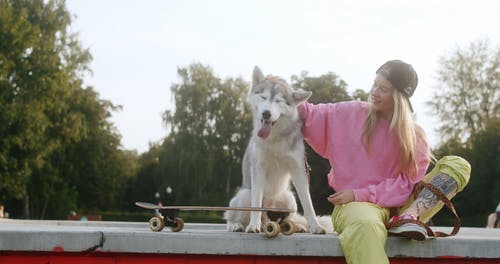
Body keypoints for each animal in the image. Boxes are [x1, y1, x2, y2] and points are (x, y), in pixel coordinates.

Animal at [225, 67, 326, 234]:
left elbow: (308, 203)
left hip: (289, 199)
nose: (266, 113)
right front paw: (253, 225)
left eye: (278, 101)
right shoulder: (258, 168)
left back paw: (297, 226)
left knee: (287, 219)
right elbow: (256, 204)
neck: (275, 139)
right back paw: (237, 225)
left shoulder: (299, 170)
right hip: (245, 195)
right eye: (263, 97)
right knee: (231, 217)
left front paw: (316, 226)